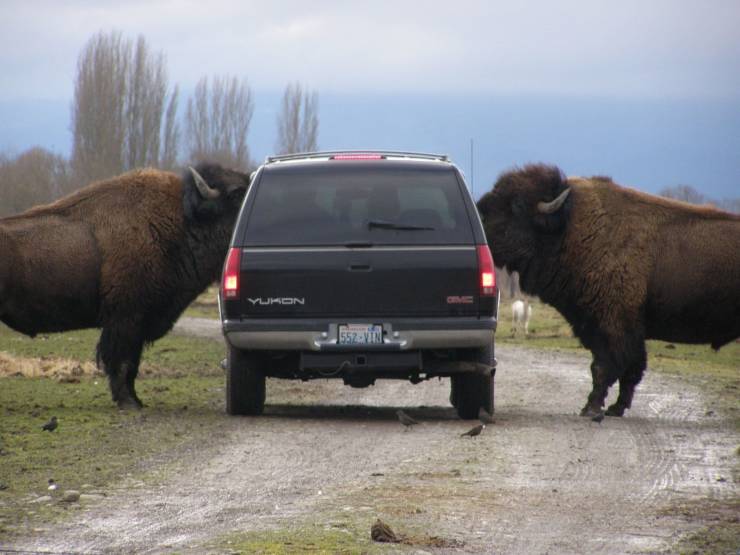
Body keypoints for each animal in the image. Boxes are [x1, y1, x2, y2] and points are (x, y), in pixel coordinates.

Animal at [0, 164, 251, 408]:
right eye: (236, 194)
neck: (181, 223)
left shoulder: (139, 322)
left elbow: (132, 363)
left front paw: (136, 399)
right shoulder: (126, 318)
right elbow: (122, 361)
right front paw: (128, 401)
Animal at [476, 164, 736, 416]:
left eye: (516, 206)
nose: (479, 216)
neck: (569, 229)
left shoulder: (613, 327)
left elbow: (605, 367)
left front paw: (591, 408)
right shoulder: (611, 328)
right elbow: (630, 370)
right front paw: (615, 408)